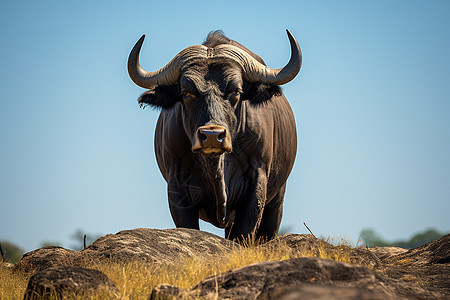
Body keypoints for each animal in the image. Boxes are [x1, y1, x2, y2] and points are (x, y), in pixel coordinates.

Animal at [128, 30, 300, 241]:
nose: (212, 135)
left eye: (236, 91)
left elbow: (244, 233)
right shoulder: (176, 186)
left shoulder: (257, 181)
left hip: (276, 202)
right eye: (186, 92)